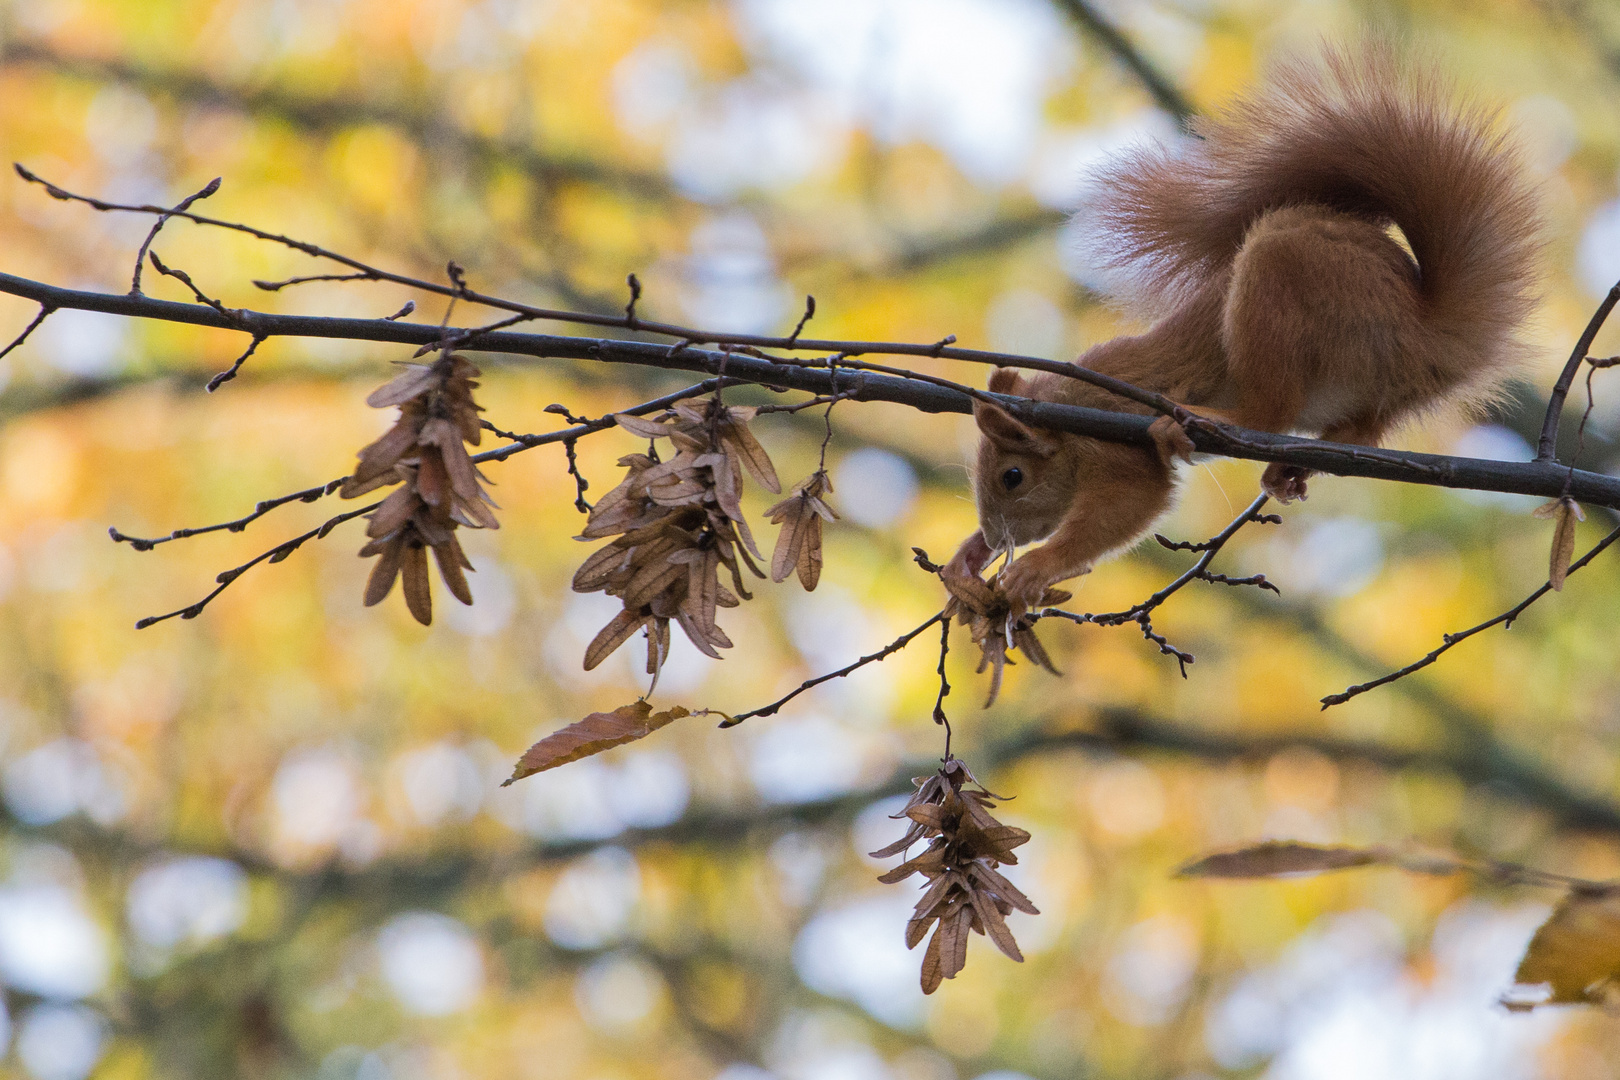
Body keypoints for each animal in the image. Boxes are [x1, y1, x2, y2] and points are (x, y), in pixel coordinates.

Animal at [946, 46, 1535, 612]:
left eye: (1013, 477)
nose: (995, 541)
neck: (1063, 406)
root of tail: (1426, 335)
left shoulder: (1110, 441)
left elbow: (1132, 500)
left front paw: (1036, 567)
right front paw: (967, 559)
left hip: (1282, 279)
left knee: (1270, 412)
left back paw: (1212, 422)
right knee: (1359, 434)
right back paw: (1287, 471)